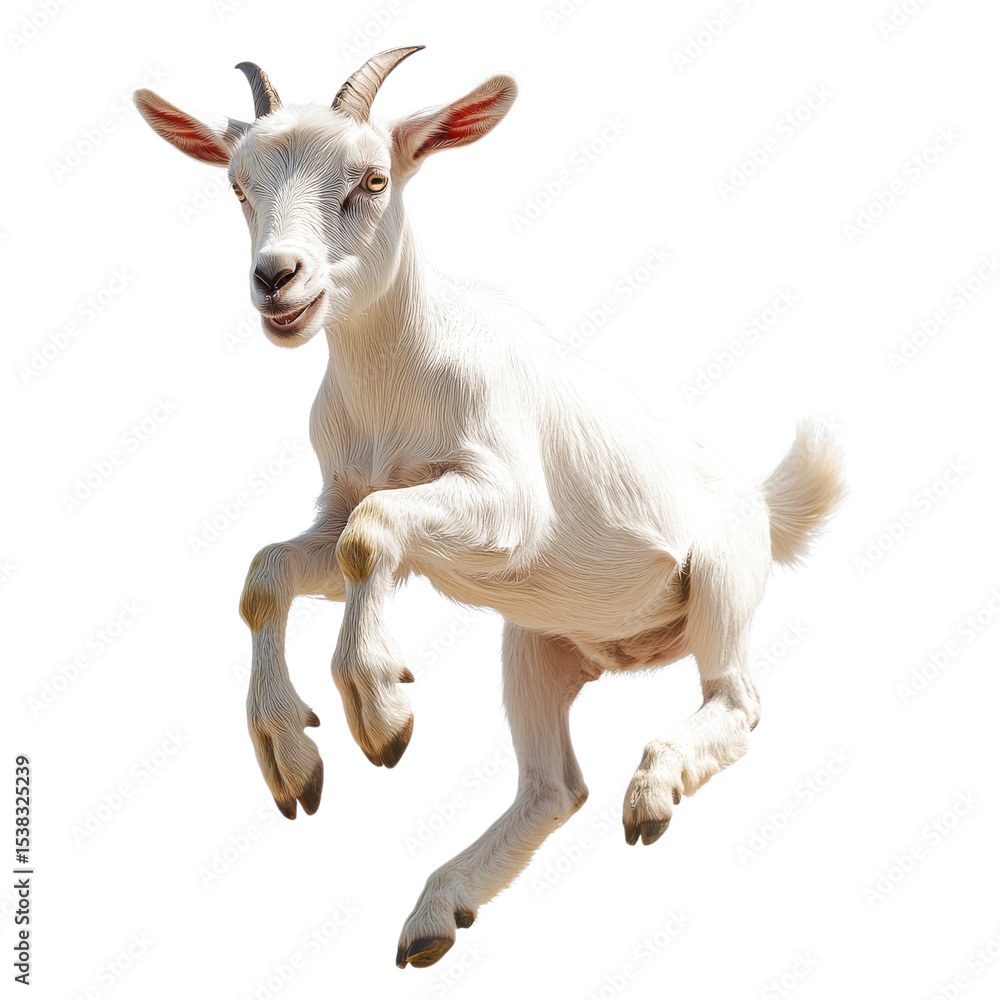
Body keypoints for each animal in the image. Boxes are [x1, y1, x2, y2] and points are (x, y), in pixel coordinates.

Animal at [134, 47, 846, 969]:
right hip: (536, 640)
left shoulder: (506, 505)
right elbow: (274, 568)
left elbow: (372, 536)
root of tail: (762, 501)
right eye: (236, 186)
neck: (400, 385)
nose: (276, 279)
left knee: (737, 700)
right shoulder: (339, 500)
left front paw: (380, 710)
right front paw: (292, 758)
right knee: (554, 786)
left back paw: (653, 790)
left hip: (724, 576)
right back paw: (439, 912)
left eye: (372, 178)